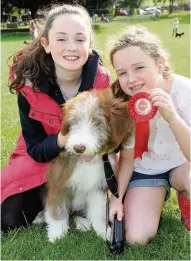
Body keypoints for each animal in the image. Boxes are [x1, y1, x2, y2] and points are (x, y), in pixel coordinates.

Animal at [44, 88, 133, 241]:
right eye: (74, 122)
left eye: (97, 123)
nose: (79, 147)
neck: (87, 162)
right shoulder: (59, 183)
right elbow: (58, 208)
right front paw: (57, 234)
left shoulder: (99, 186)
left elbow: (98, 211)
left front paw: (103, 230)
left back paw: (83, 224)